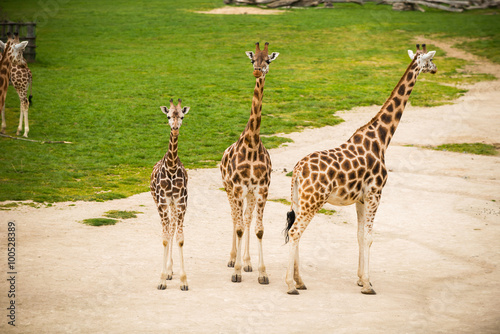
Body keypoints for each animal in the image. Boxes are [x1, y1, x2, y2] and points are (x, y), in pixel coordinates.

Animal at [286, 43, 438, 294]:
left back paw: (300, 281)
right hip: (313, 201)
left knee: (295, 233)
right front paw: (367, 284)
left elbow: (359, 235)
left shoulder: (360, 198)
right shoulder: (375, 193)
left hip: (298, 200)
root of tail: (298, 171)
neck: (381, 139)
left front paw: (360, 279)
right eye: (429, 60)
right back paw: (290, 285)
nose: (435, 69)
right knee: (295, 231)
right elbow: (369, 237)